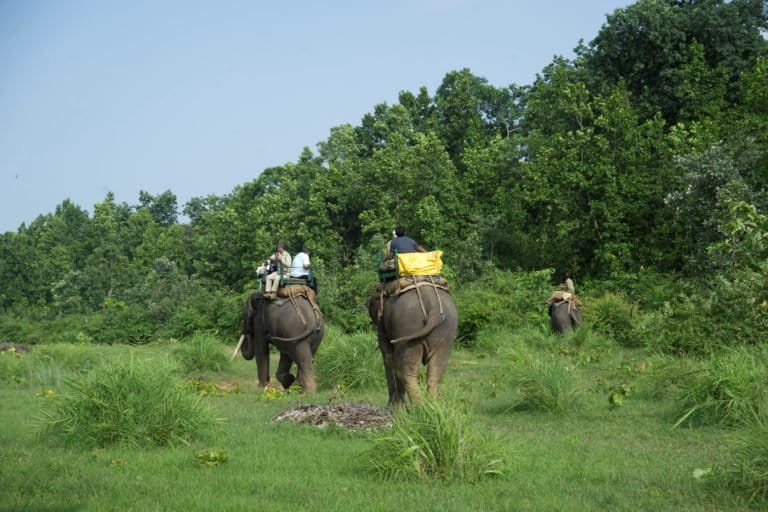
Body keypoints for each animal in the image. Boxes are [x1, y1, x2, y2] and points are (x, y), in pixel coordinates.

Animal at [366, 278, 456, 406]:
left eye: (372, 301)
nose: (366, 303)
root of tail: (432, 306)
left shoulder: (382, 325)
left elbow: (387, 356)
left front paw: (392, 407)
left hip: (407, 326)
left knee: (404, 371)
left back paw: (417, 408)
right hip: (447, 330)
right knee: (436, 371)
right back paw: (432, 405)